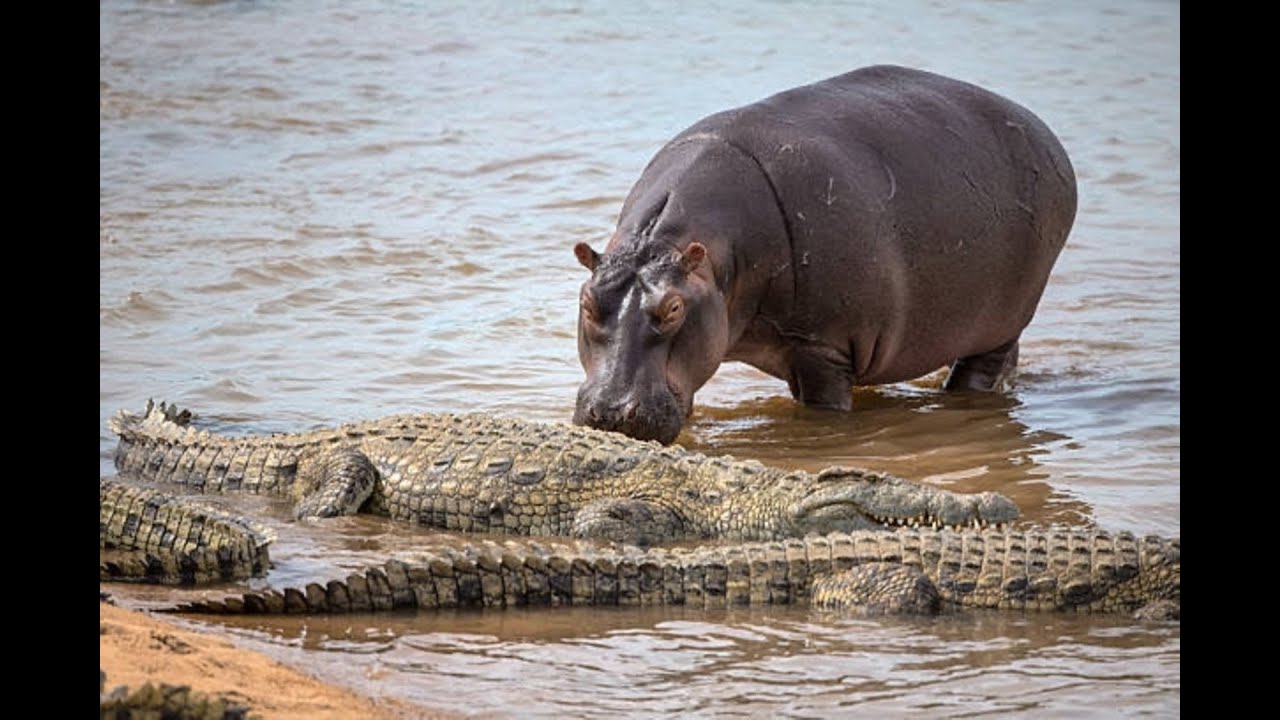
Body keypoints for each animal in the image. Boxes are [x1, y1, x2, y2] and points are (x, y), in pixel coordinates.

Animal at [572, 64, 1077, 444]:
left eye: (674, 308)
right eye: (587, 301)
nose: (611, 412)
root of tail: (1042, 130)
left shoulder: (824, 346)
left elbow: (822, 410)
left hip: (1004, 319)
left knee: (980, 371)